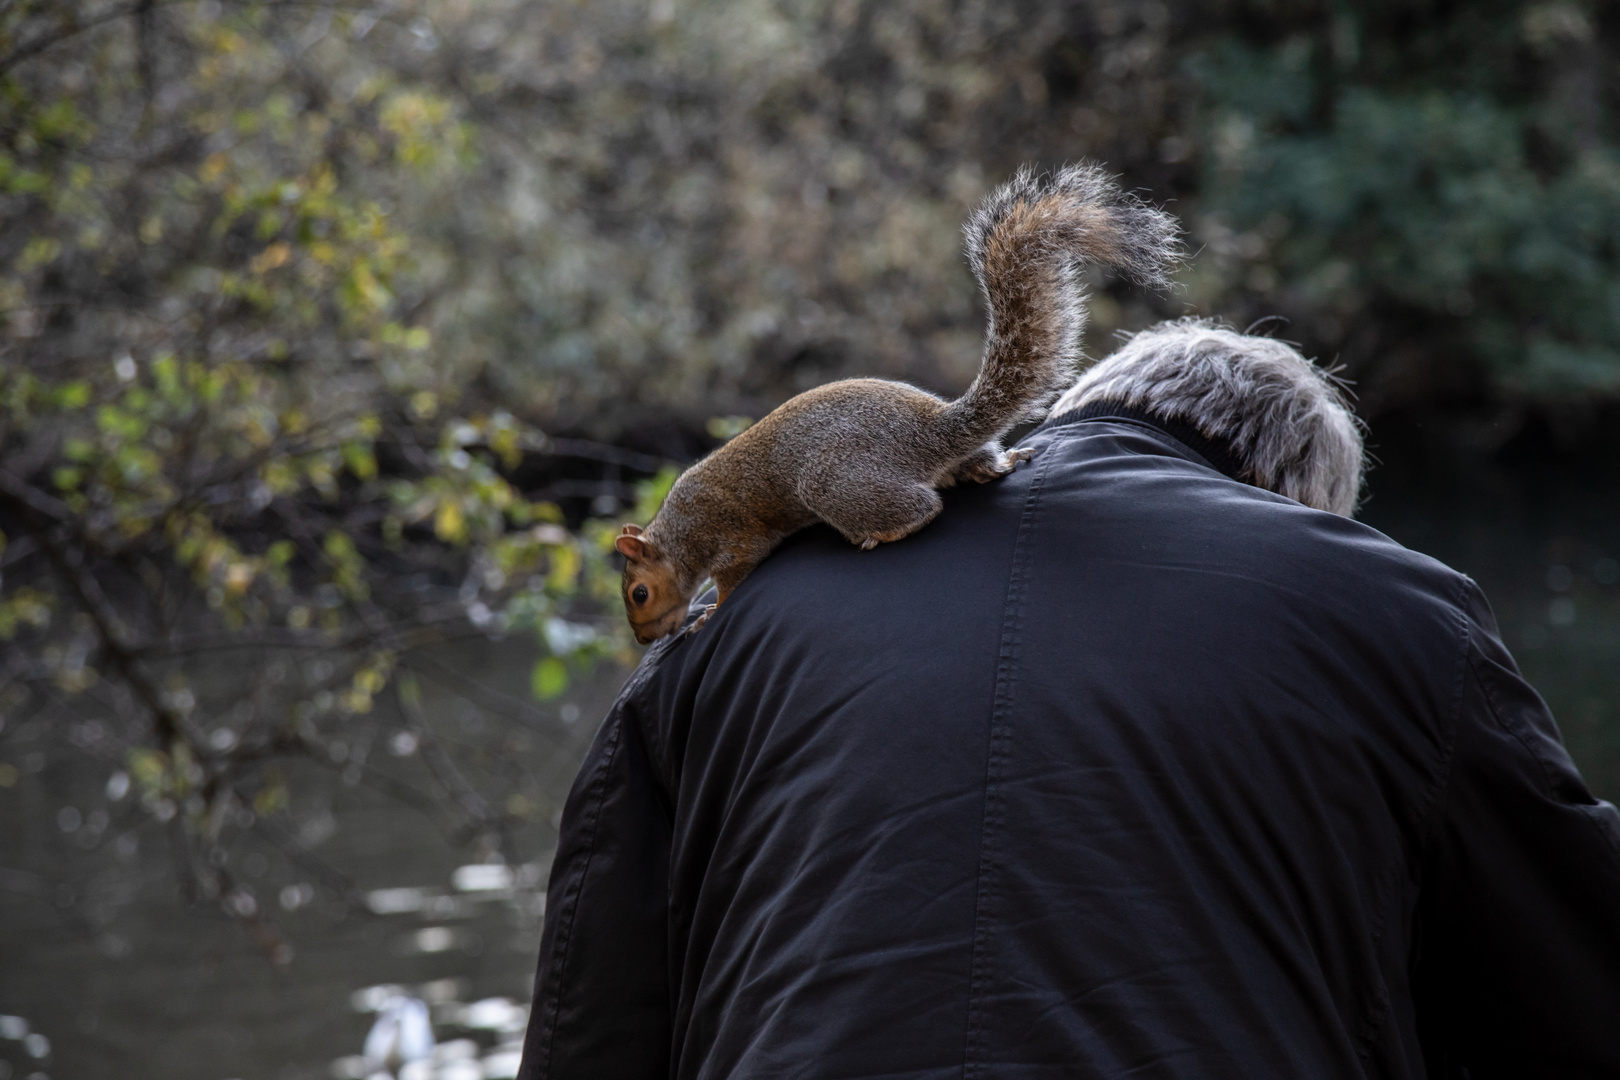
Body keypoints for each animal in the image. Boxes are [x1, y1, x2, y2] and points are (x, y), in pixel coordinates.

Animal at [612, 162, 1185, 641]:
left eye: (639, 593)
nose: (644, 640)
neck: (678, 532)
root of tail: (931, 430)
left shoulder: (728, 534)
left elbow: (734, 577)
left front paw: (709, 614)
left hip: (835, 482)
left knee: (924, 507)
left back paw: (884, 533)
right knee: (972, 468)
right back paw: (1002, 462)